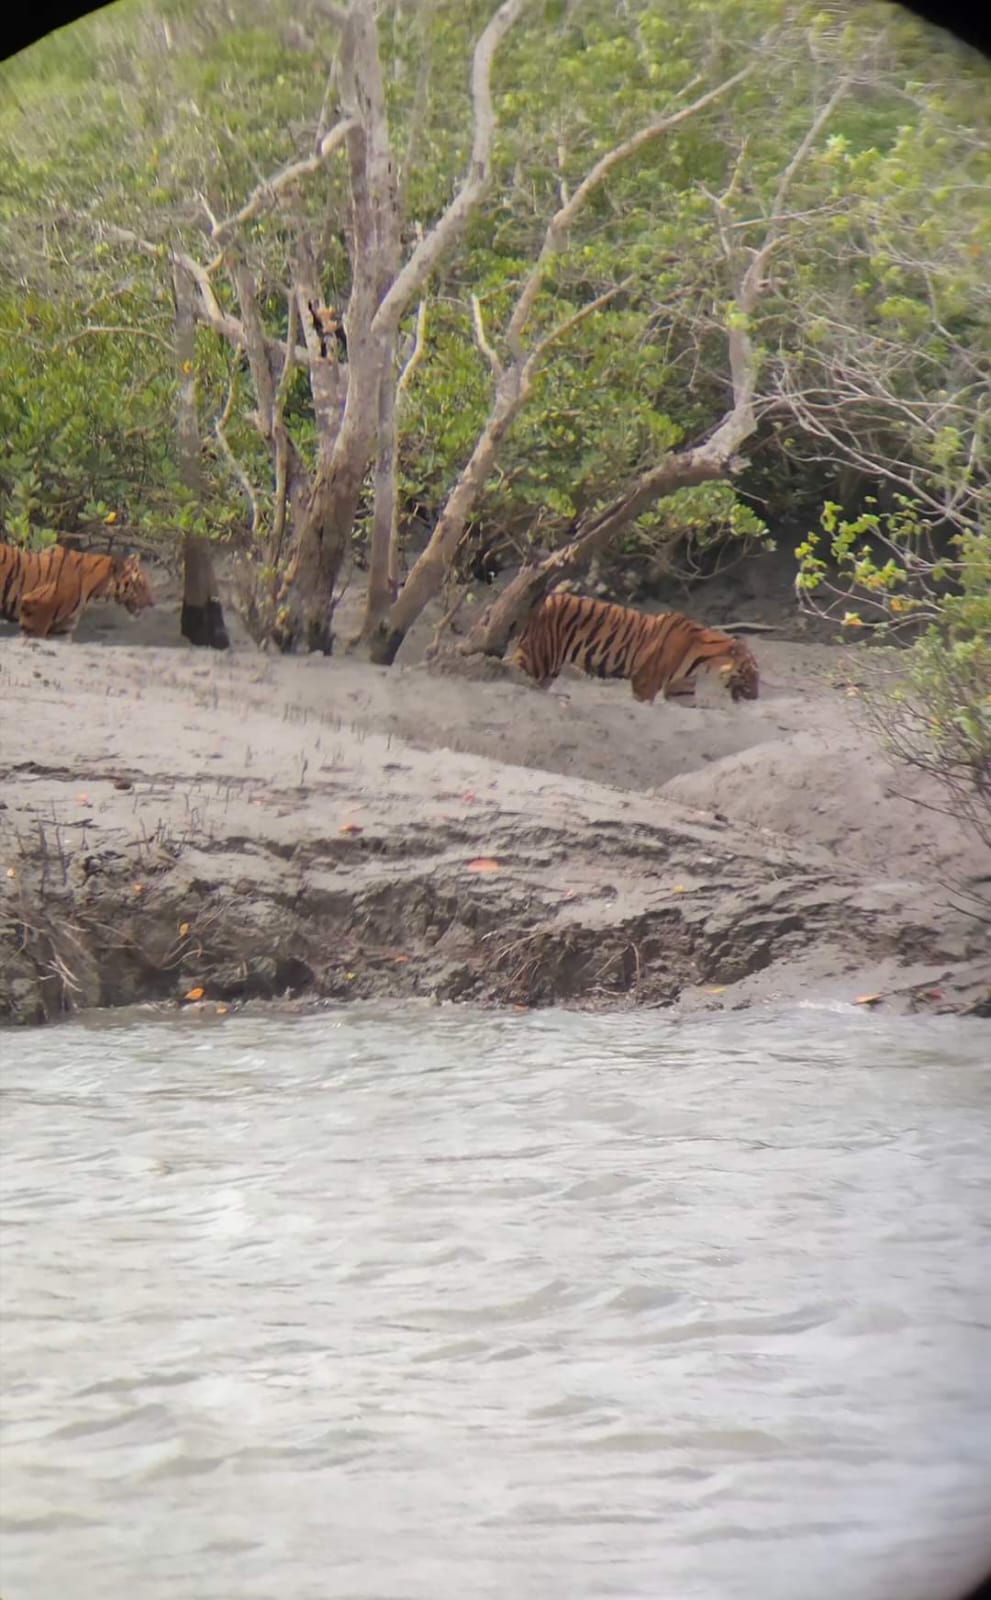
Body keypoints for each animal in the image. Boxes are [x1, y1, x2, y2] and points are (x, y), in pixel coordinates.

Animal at [511, 592, 759, 704]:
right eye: (750, 673)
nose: (756, 697)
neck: (705, 662)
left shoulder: (682, 691)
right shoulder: (645, 681)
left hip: (549, 668)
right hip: (538, 658)